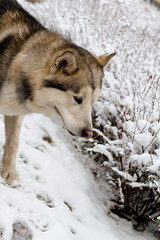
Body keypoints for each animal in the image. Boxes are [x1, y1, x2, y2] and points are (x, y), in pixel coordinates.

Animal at [0, 0, 115, 185]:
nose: (89, 133)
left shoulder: (15, 112)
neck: (17, 57)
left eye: (93, 103)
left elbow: (13, 141)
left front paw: (8, 172)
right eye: (78, 99)